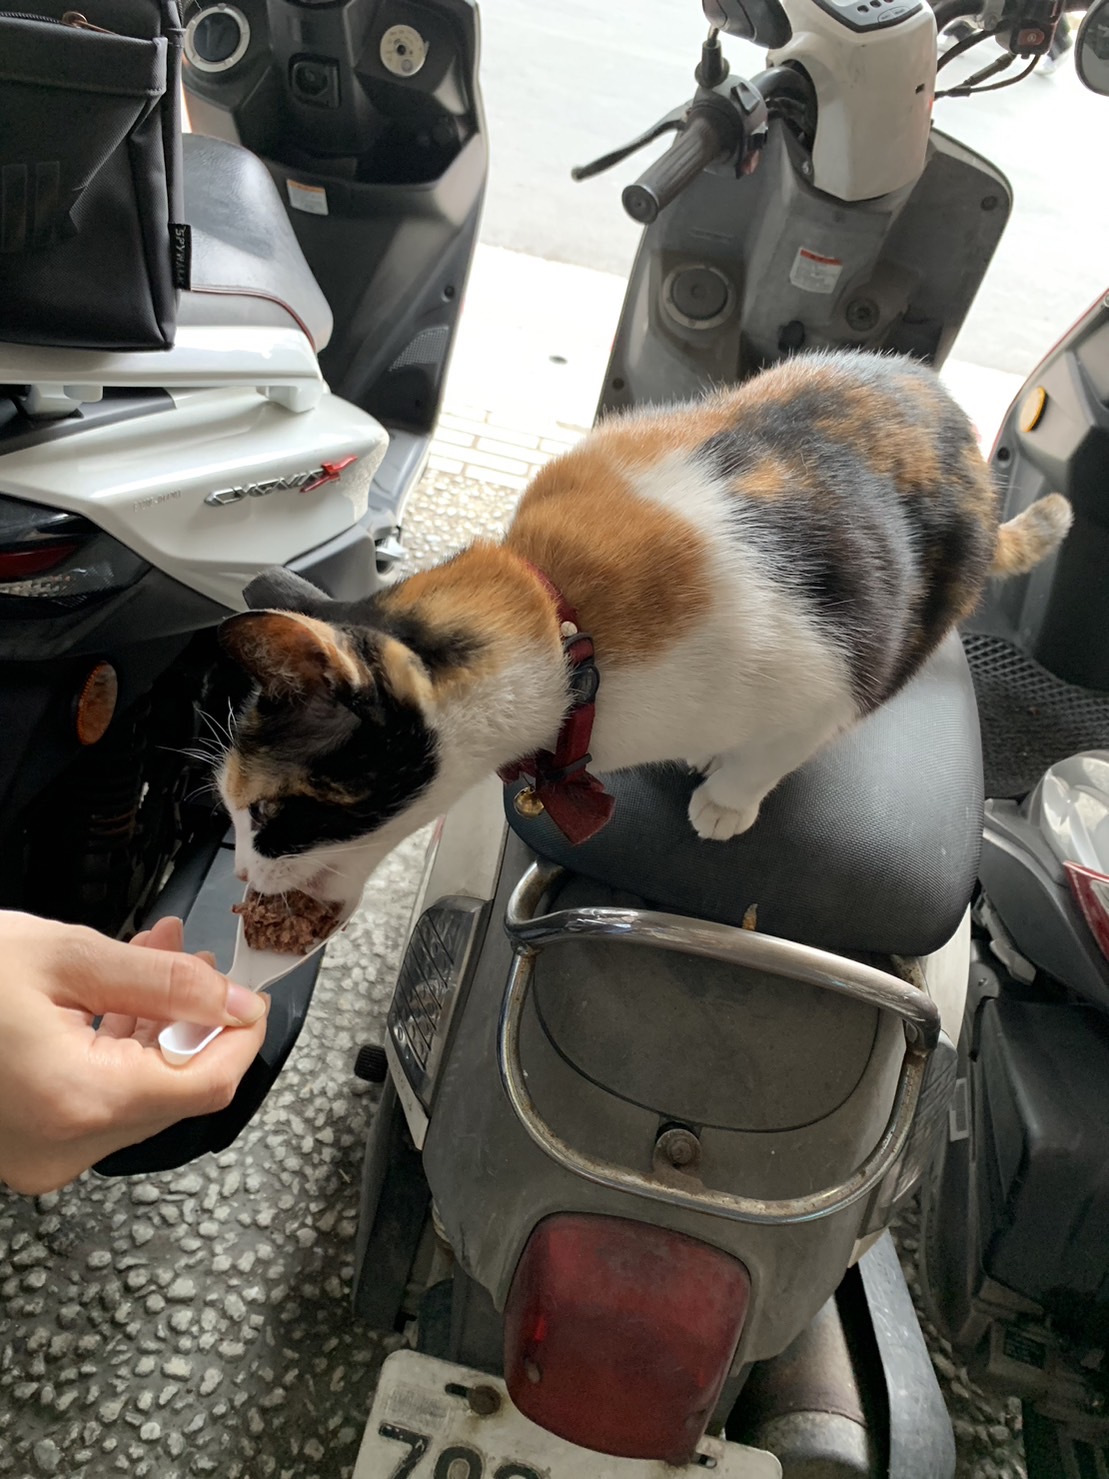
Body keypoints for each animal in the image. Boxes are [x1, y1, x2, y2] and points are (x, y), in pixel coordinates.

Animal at [216, 349, 1072, 904]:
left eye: (268, 814)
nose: (242, 874)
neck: (561, 622)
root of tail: (957, 421)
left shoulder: (830, 673)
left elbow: (777, 749)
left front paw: (726, 798)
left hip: (925, 605)